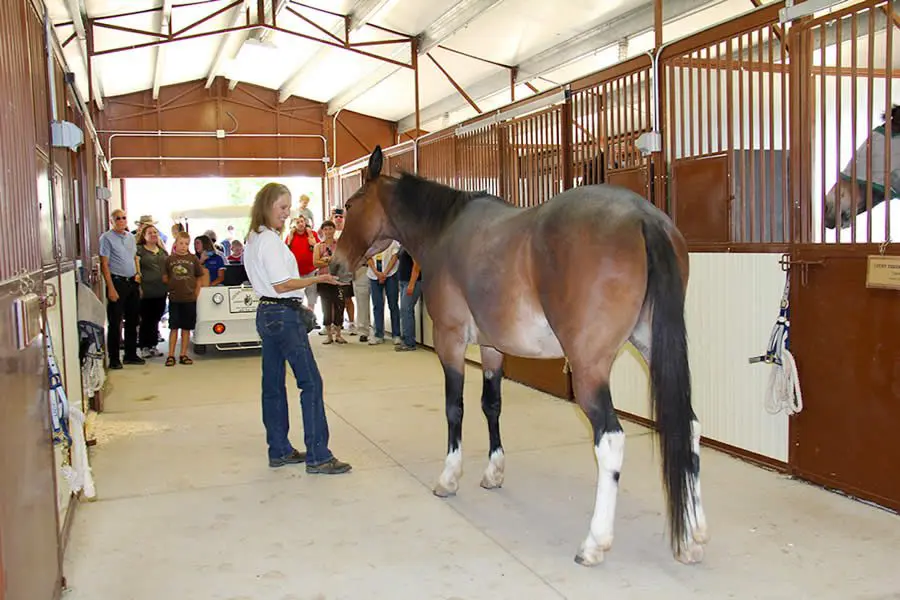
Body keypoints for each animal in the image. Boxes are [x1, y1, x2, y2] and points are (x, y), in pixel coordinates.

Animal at [329, 145, 708, 566]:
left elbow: (455, 408)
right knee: (689, 426)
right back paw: (691, 537)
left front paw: (449, 478)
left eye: (350, 205)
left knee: (611, 440)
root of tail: (643, 215)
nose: (334, 264)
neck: (445, 228)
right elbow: (491, 405)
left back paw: (595, 542)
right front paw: (494, 472)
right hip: (651, 347)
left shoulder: (450, 342)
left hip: (590, 369)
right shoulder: (492, 348)